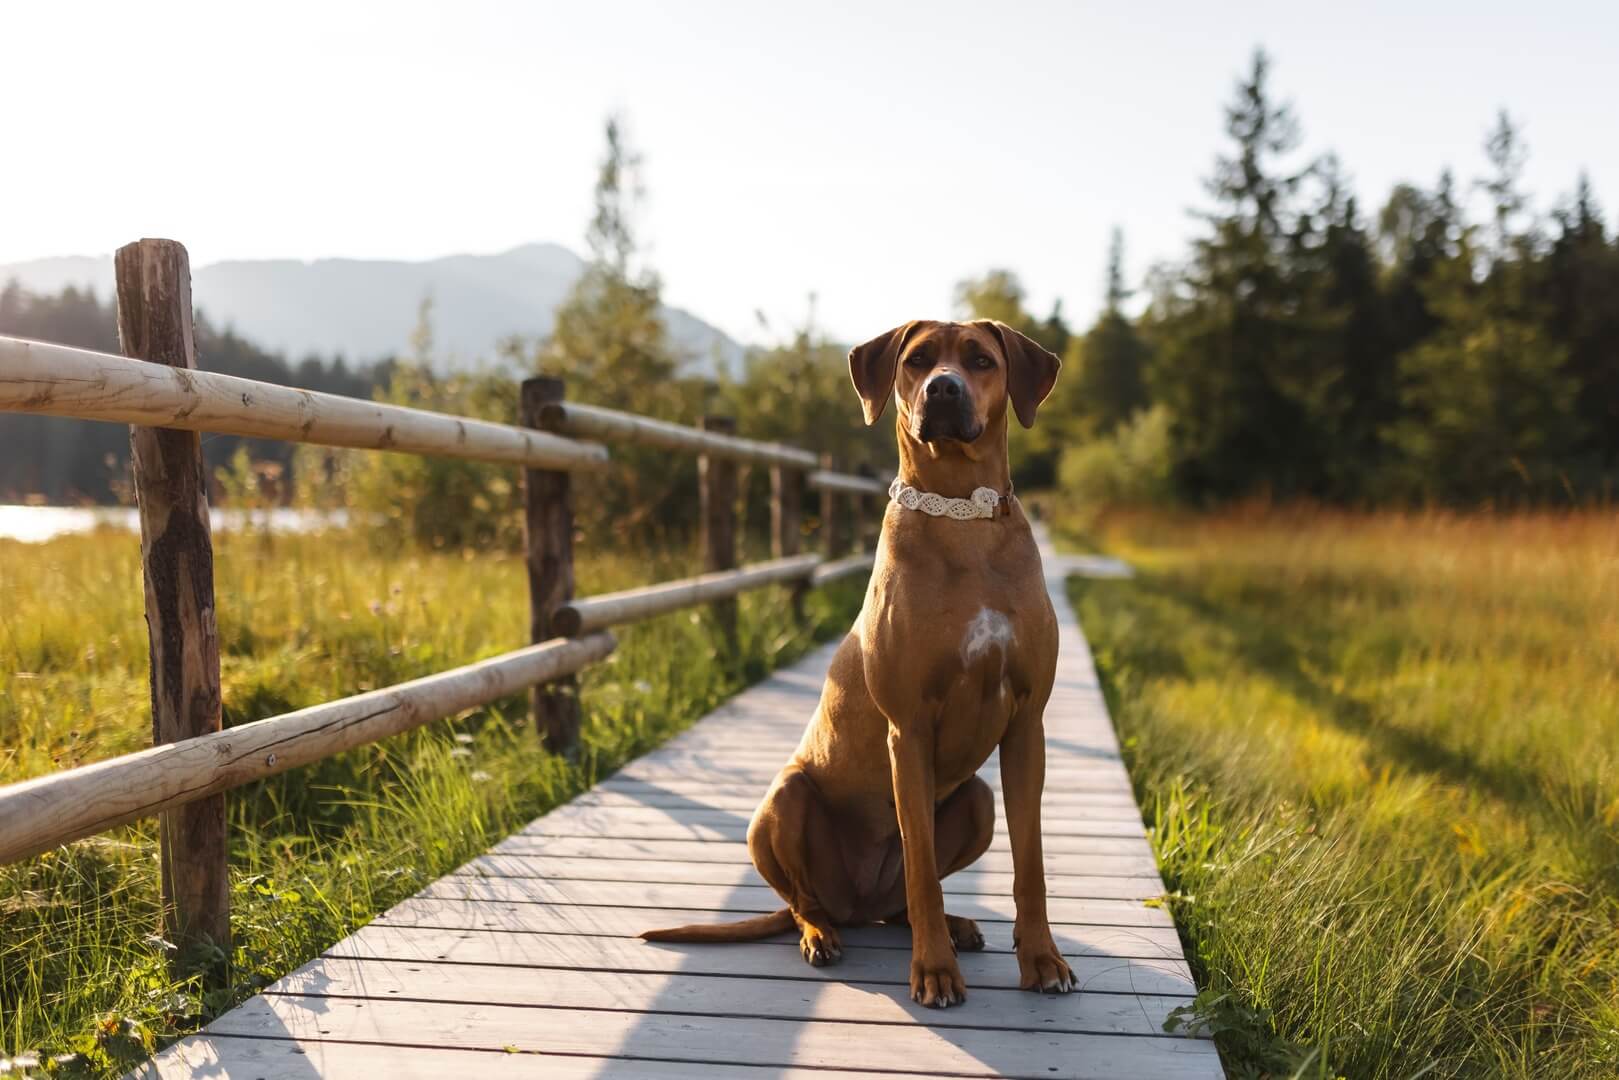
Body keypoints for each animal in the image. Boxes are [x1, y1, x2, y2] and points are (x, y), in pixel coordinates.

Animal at [644, 318, 1075, 1003]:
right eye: (917, 359)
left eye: (981, 361)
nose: (943, 389)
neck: (962, 518)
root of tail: (856, 903)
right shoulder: (909, 730)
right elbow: (922, 865)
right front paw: (934, 971)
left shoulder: (1027, 725)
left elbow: (1028, 864)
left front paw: (1040, 959)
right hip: (785, 801)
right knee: (809, 901)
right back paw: (823, 935)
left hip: (976, 801)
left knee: (900, 903)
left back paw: (951, 926)